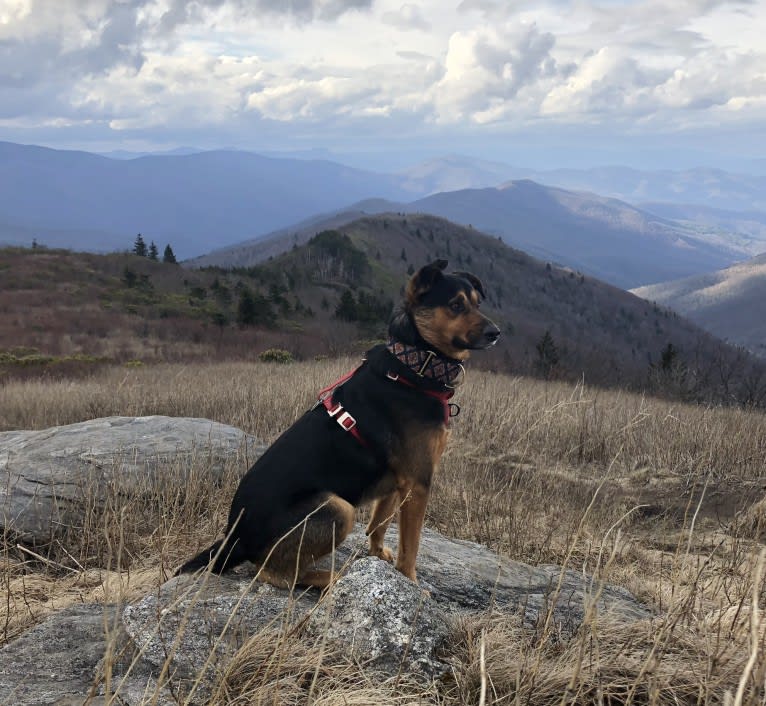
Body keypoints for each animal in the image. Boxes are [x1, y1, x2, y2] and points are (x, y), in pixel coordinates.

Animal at [180, 262, 504, 584]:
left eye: (477, 303)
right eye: (455, 305)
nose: (496, 333)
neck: (415, 366)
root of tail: (235, 538)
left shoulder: (398, 482)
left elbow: (379, 523)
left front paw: (378, 555)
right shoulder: (419, 481)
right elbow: (410, 544)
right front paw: (411, 581)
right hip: (337, 508)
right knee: (273, 573)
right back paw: (330, 578)